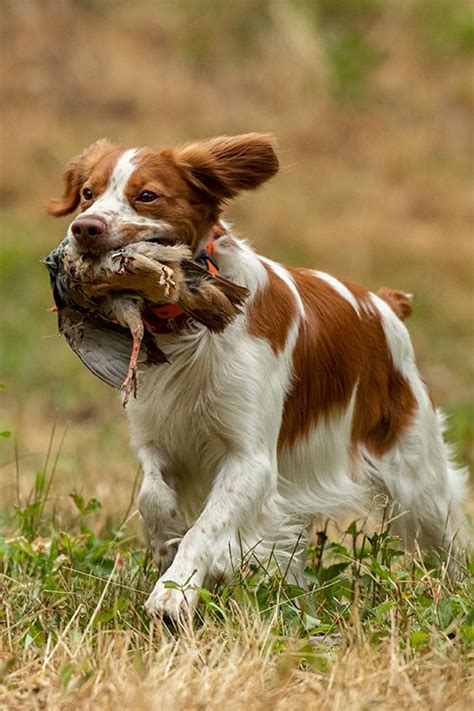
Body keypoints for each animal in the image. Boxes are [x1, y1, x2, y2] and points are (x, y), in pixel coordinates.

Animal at [47, 132, 466, 616]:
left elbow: (207, 526)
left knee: (452, 533)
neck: (186, 327)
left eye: (147, 195)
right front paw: (167, 540)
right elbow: (152, 495)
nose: (85, 228)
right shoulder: (157, 437)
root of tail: (384, 303)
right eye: (87, 193)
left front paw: (174, 593)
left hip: (418, 476)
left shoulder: (251, 459)